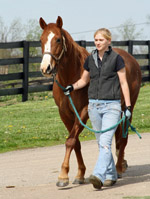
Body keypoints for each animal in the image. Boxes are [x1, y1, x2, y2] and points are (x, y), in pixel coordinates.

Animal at [39, 15, 142, 187]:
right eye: (41, 40)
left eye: (58, 39)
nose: (45, 68)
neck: (72, 76)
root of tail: (131, 60)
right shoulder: (65, 114)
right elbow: (76, 143)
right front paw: (80, 174)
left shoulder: (83, 111)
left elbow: (70, 141)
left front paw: (63, 176)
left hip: (129, 108)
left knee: (123, 138)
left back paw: (118, 168)